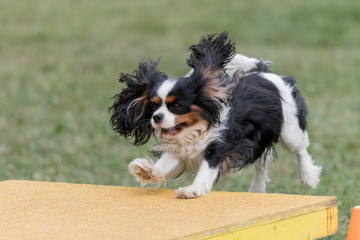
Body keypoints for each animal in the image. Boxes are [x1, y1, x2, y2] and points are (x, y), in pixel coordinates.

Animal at [108, 31, 322, 199]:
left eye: (176, 105)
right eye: (154, 106)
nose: (156, 118)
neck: (195, 129)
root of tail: (263, 71)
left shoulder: (218, 147)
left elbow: (205, 170)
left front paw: (191, 190)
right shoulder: (179, 152)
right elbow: (166, 164)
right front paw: (147, 171)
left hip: (289, 130)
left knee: (301, 148)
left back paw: (308, 177)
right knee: (262, 162)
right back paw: (257, 189)